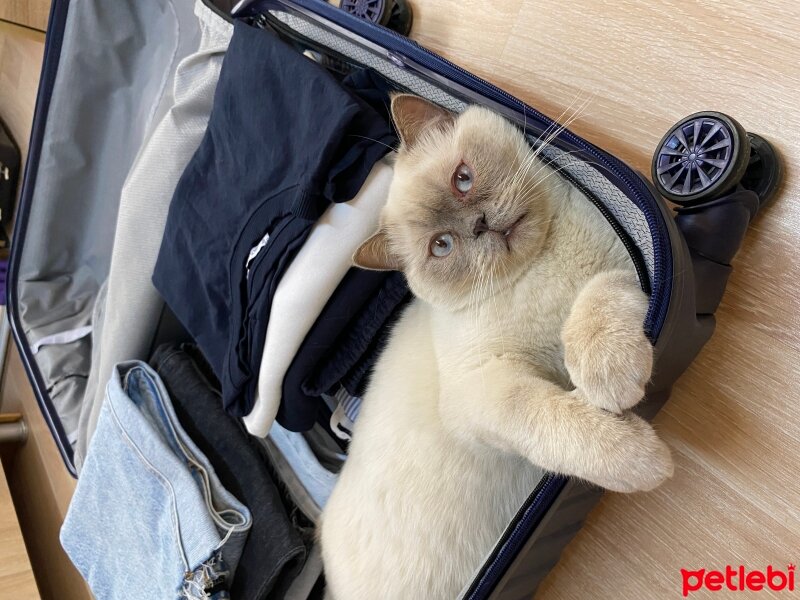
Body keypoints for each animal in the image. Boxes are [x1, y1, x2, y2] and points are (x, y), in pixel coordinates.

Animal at [322, 96, 672, 596]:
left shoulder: (627, 268)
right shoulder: (484, 389)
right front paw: (645, 460)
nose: (481, 224)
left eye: (463, 179)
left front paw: (609, 377)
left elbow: (597, 300)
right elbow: (552, 418)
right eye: (442, 246)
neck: (542, 265)